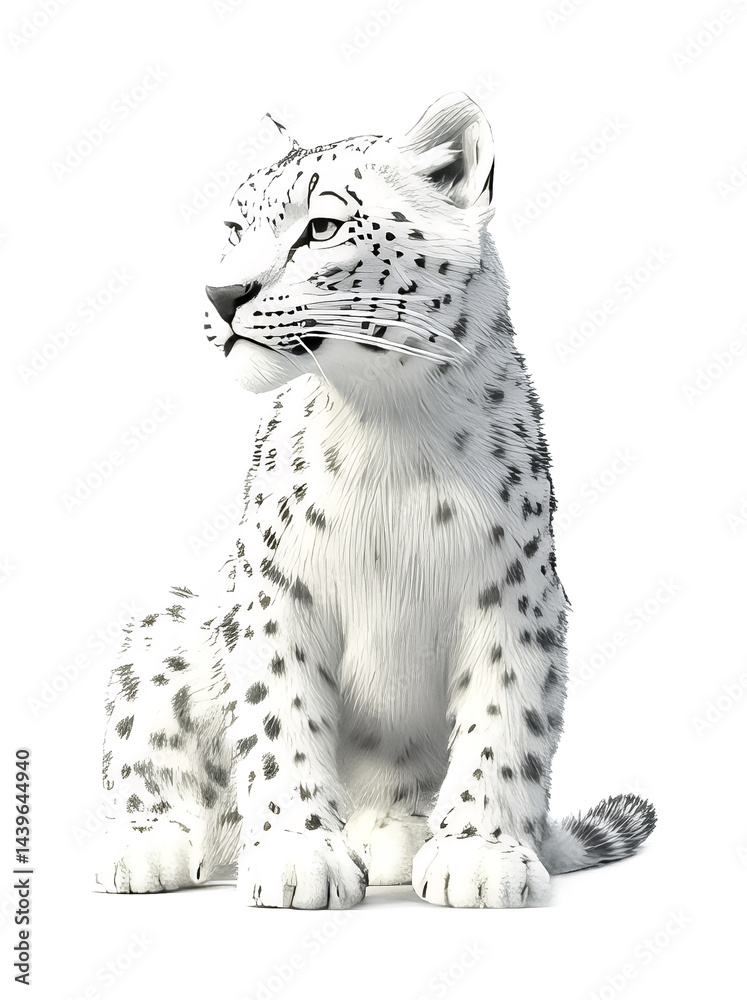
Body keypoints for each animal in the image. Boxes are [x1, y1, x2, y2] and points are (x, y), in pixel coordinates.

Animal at [95, 93, 655, 908]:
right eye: (234, 230)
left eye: (321, 227)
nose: (221, 295)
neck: (387, 422)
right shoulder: (274, 591)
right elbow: (277, 721)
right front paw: (298, 853)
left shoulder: (513, 592)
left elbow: (504, 721)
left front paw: (480, 855)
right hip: (171, 632)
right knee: (150, 755)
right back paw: (147, 849)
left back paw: (394, 836)